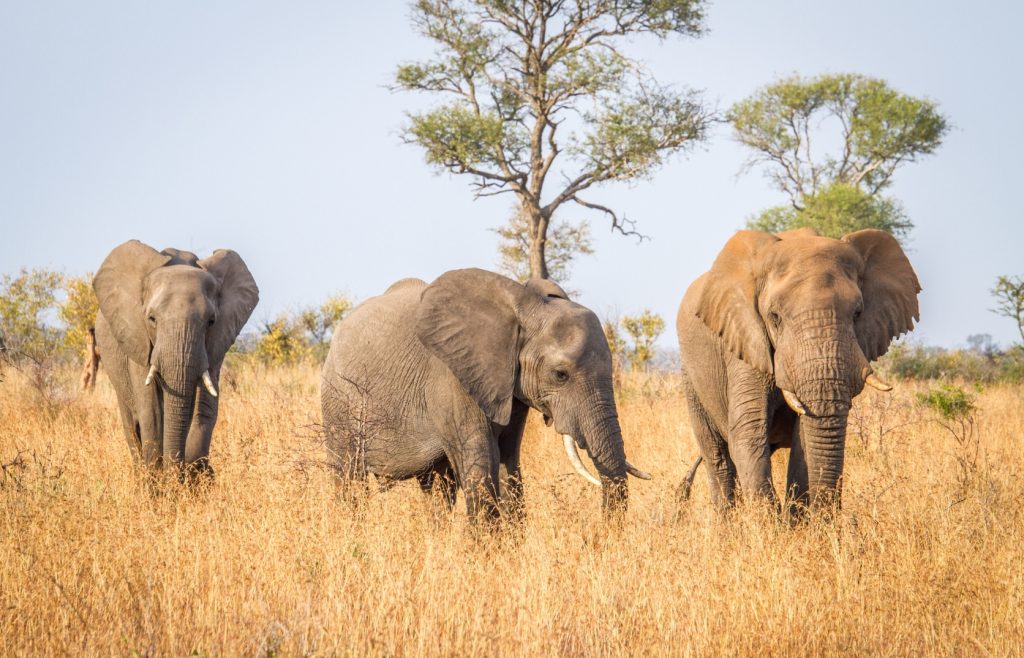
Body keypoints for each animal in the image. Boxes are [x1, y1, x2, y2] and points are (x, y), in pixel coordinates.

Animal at [93, 240, 259, 478]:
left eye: (211, 321)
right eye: (151, 318)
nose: (175, 473)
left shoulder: (215, 344)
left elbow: (203, 408)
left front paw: (194, 476)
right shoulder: (138, 337)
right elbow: (151, 410)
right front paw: (159, 482)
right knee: (131, 424)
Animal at [320, 268, 650, 524]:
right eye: (560, 374)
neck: (526, 307)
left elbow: (508, 462)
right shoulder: (452, 378)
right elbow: (480, 464)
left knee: (437, 488)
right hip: (338, 399)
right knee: (349, 476)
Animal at [676, 227, 920, 514]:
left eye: (858, 313)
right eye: (775, 317)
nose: (829, 514)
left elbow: (803, 442)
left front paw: (795, 520)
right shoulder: (745, 342)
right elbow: (748, 431)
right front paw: (768, 523)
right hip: (691, 375)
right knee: (719, 457)